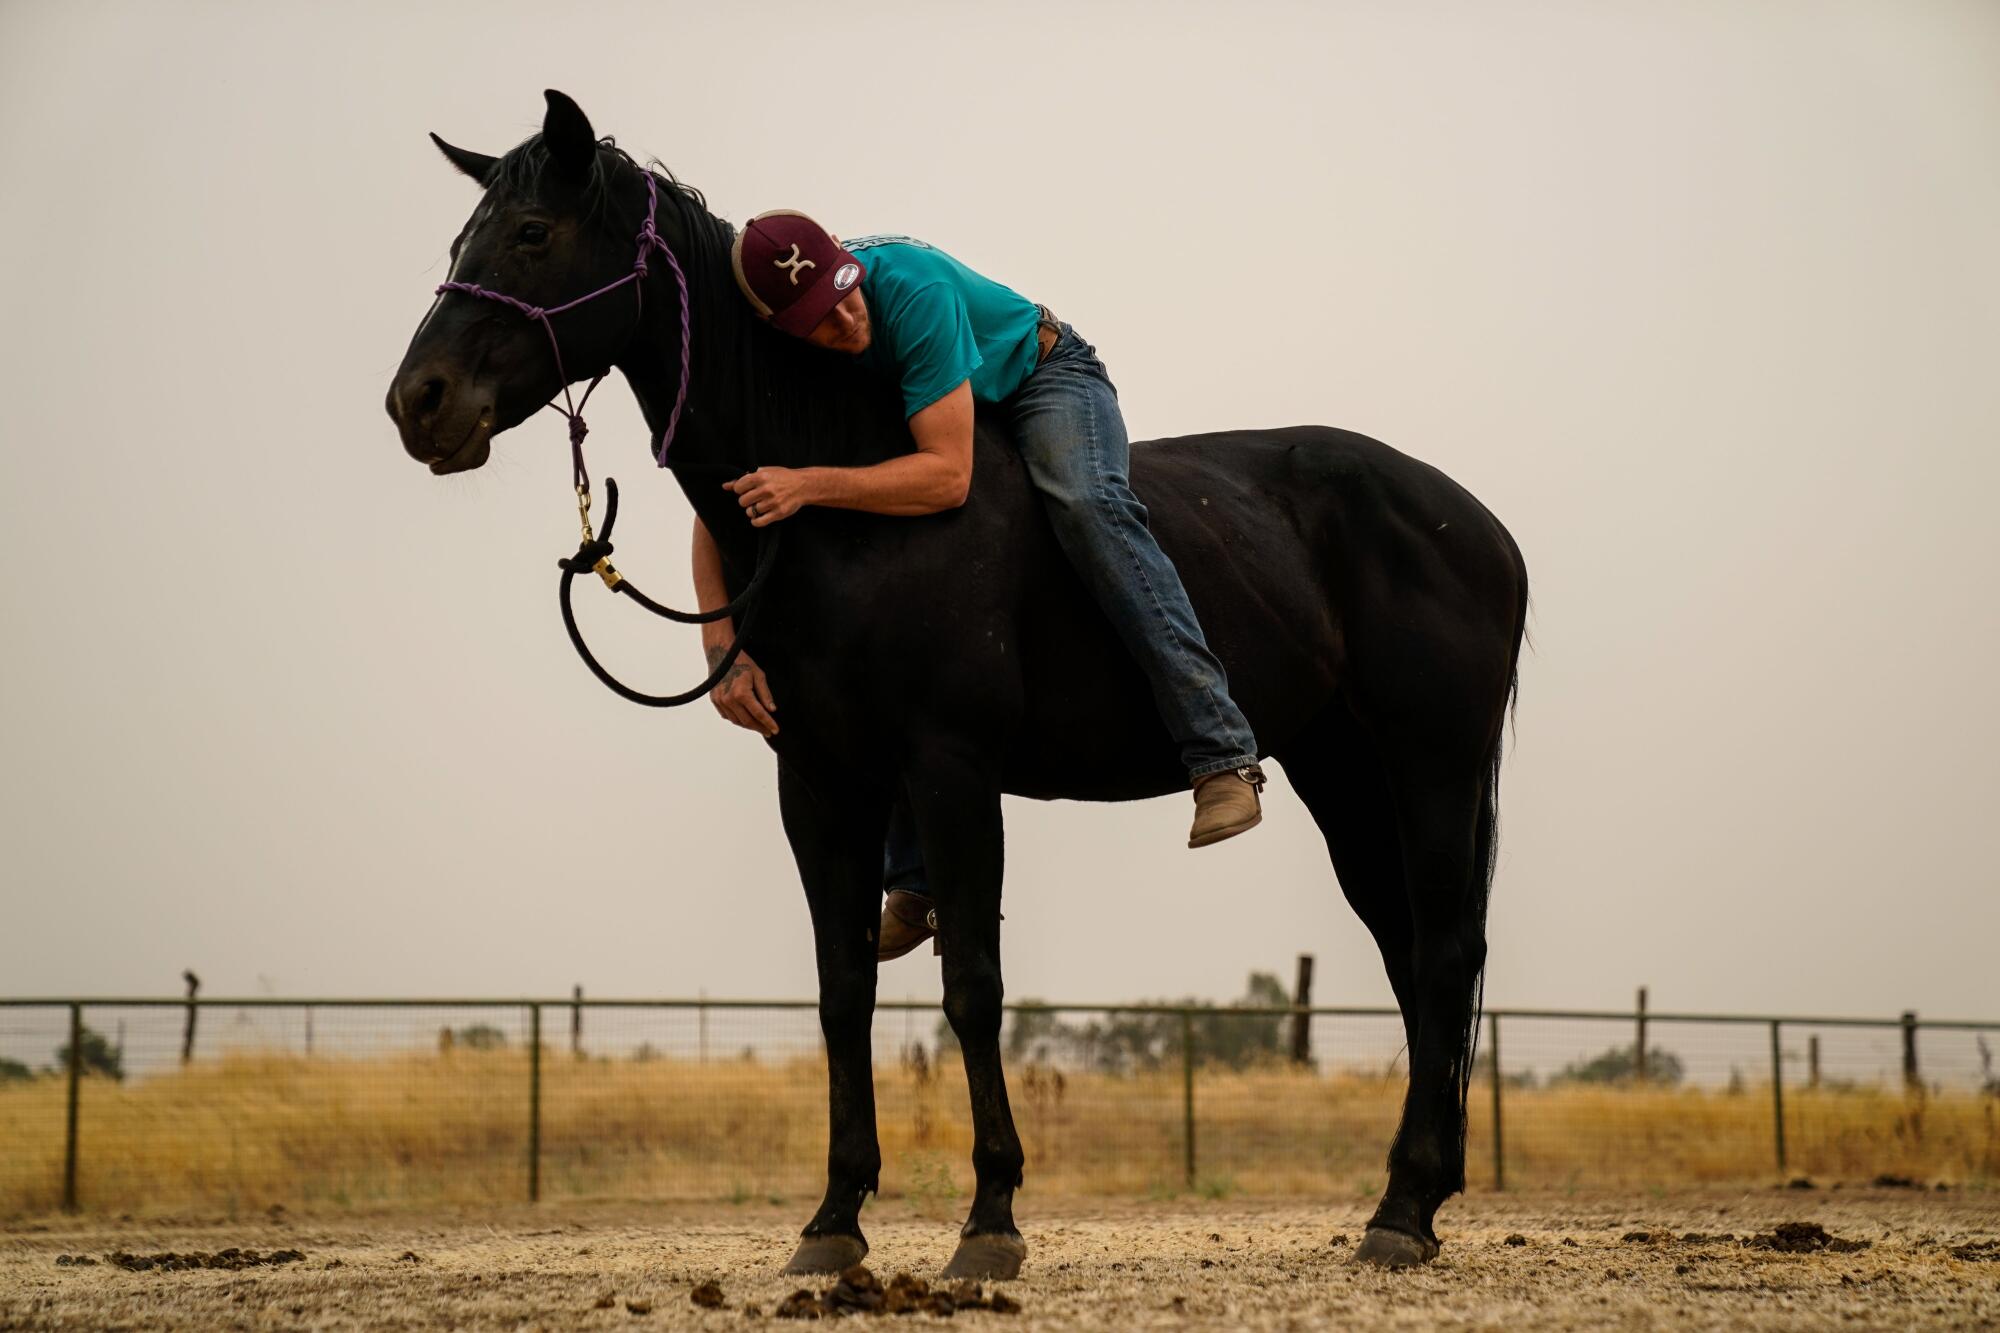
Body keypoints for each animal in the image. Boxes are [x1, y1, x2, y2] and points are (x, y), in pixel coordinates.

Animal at [390, 88, 1528, 1272]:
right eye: (463, 240)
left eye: (533, 234)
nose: (419, 402)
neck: (850, 505)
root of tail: (1478, 526)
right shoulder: (823, 779)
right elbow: (843, 991)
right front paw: (833, 1220)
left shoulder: (951, 767)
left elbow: (972, 988)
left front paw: (989, 1220)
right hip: (1341, 771)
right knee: (1410, 957)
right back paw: (1410, 1200)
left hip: (1430, 767)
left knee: (1443, 955)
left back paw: (1403, 1208)